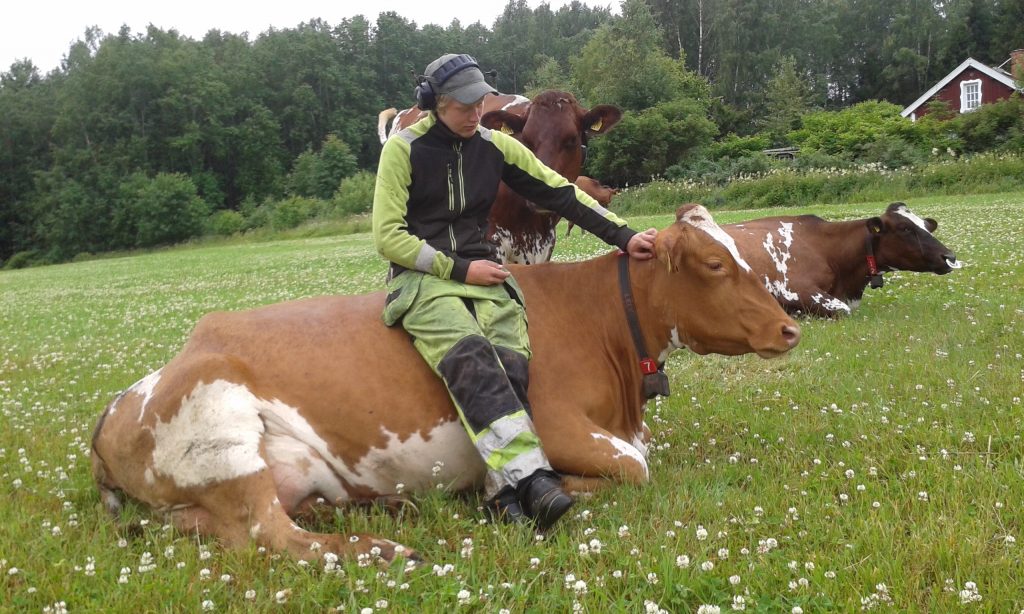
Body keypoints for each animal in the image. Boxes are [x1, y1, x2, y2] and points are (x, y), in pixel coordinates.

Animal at [90, 205, 799, 563]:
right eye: (715, 264)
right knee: (270, 533)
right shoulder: (555, 422)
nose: (791, 327)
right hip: (224, 430)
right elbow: (633, 467)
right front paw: (509, 491)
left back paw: (382, 507)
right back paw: (379, 548)